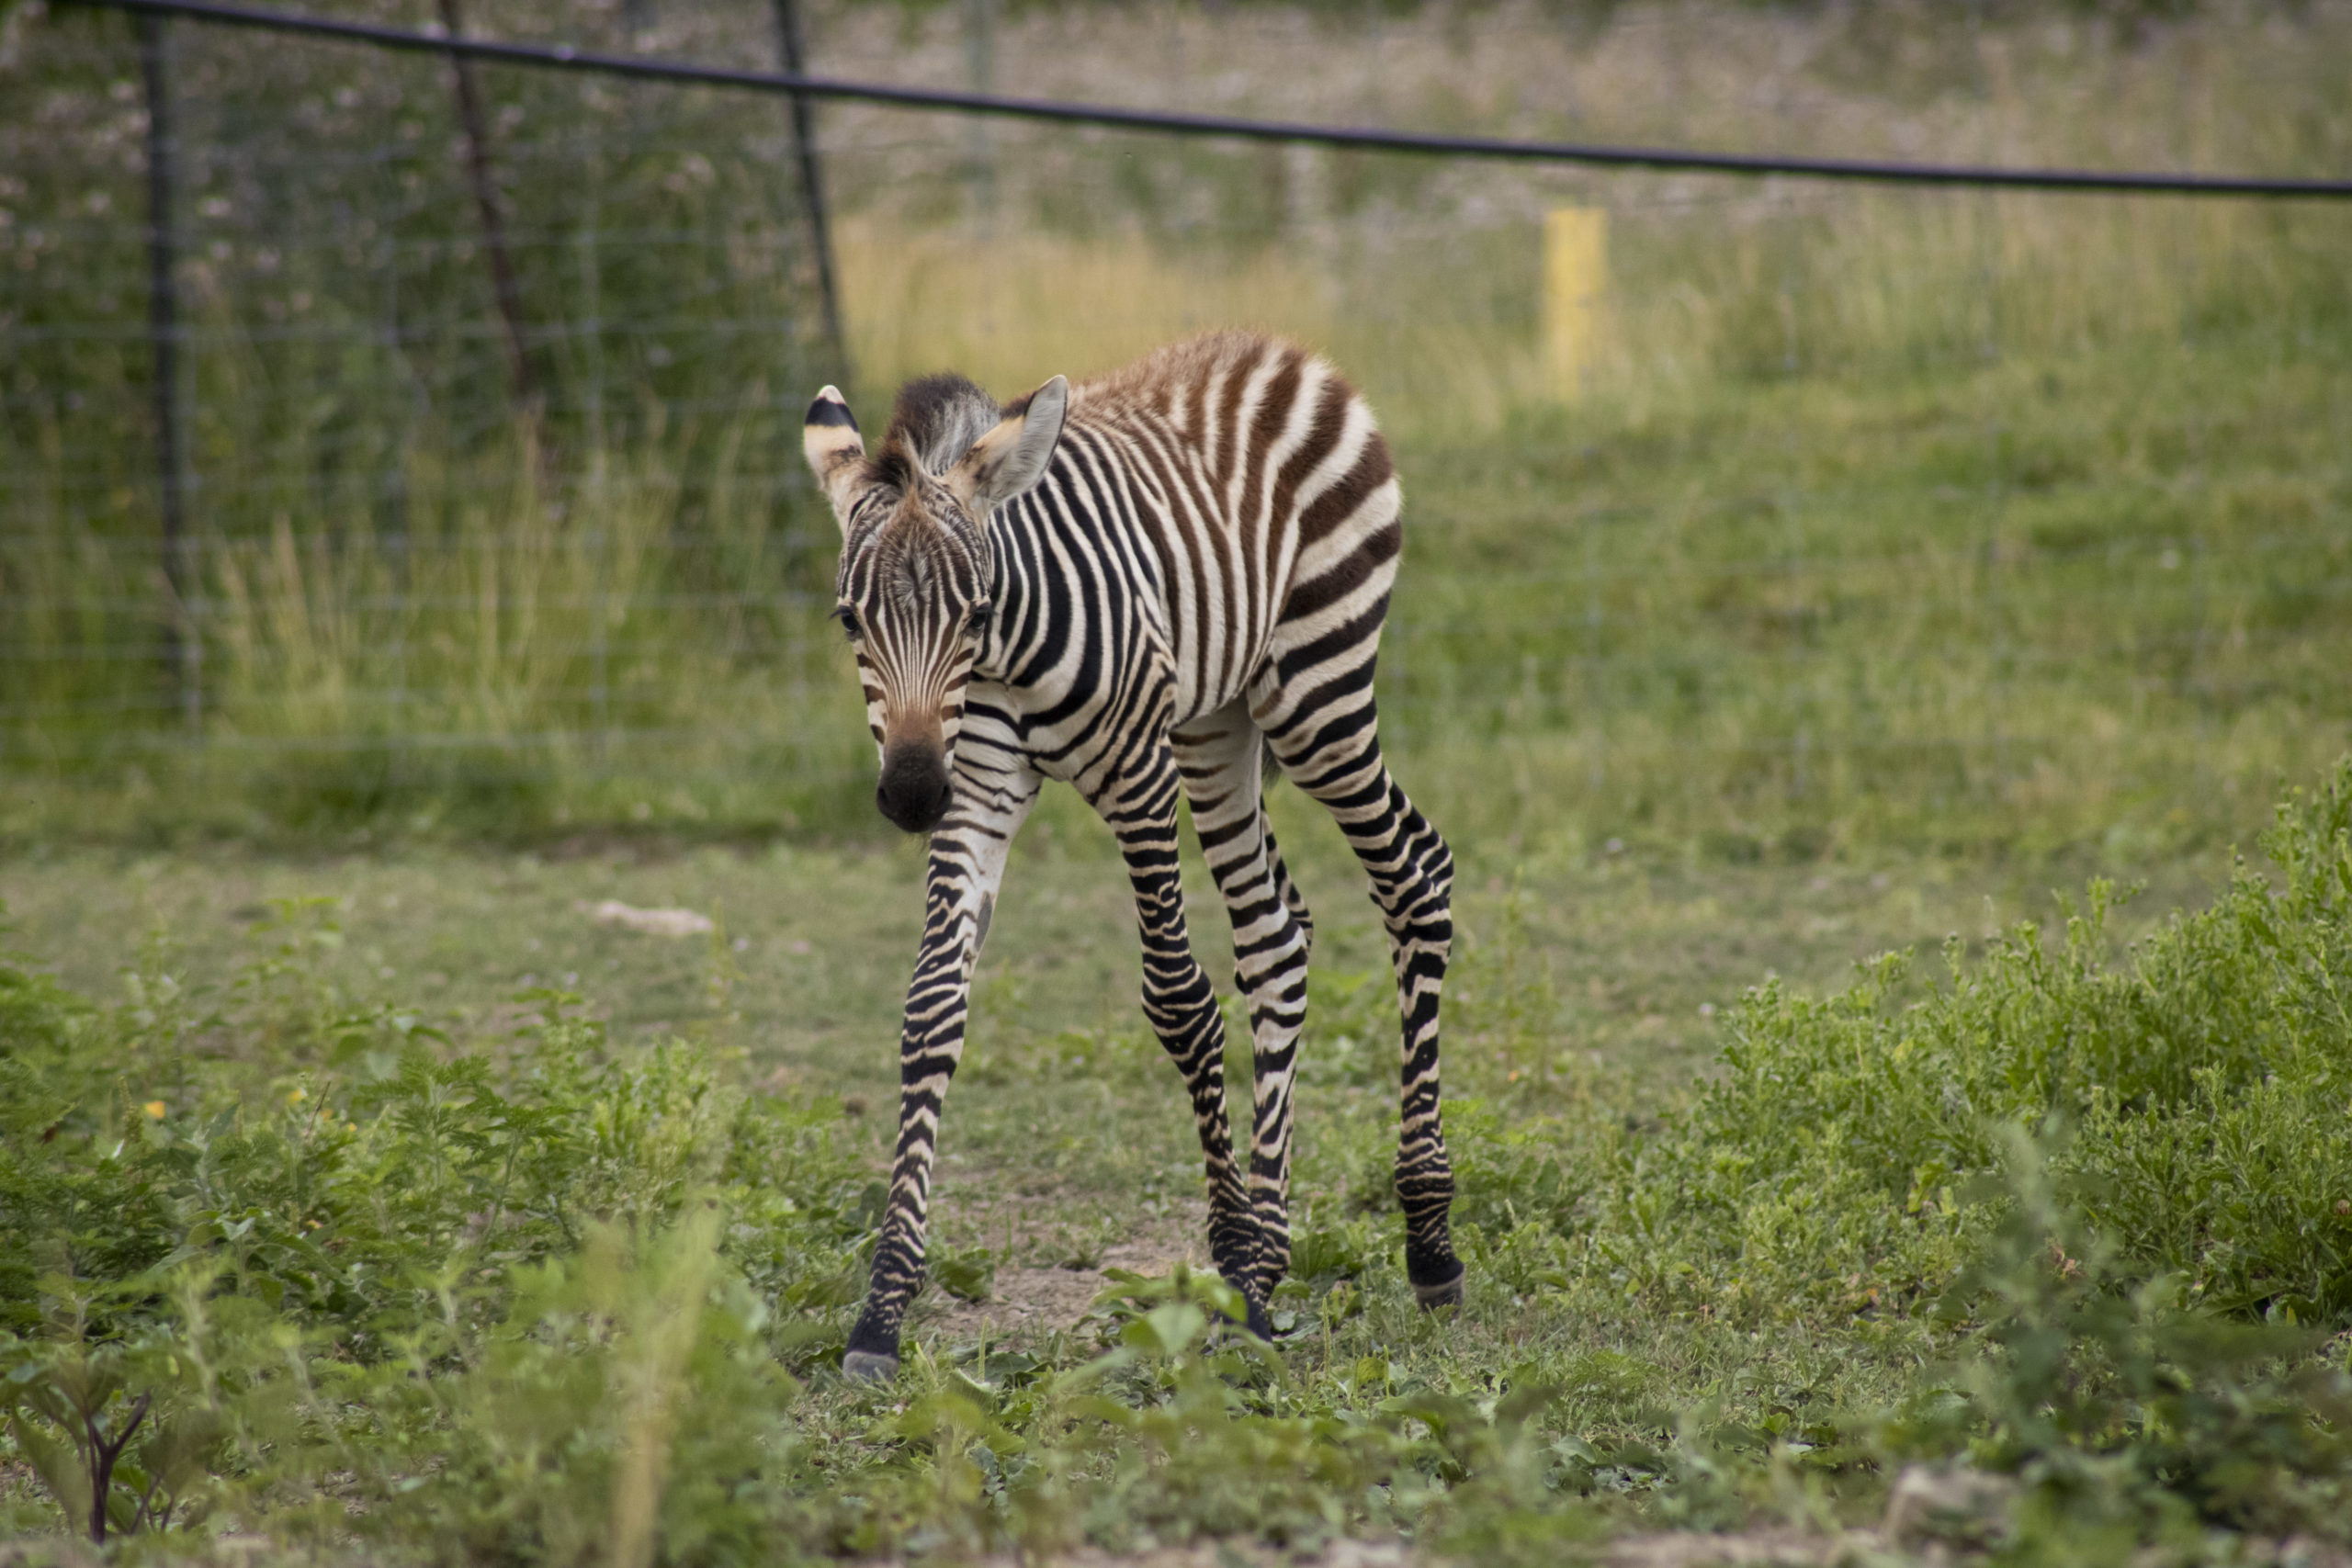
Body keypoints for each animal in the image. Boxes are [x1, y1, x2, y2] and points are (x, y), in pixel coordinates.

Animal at [808, 333, 1467, 1382]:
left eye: (976, 610)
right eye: (848, 620)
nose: (910, 798)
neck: (1009, 652)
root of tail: (1282, 351)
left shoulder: (1134, 777)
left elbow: (1179, 1003)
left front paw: (1230, 1260)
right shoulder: (977, 789)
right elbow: (931, 1008)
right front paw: (881, 1312)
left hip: (1314, 694)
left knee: (1415, 875)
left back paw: (1423, 1244)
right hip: (1217, 723)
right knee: (1275, 935)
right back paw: (1271, 1263)